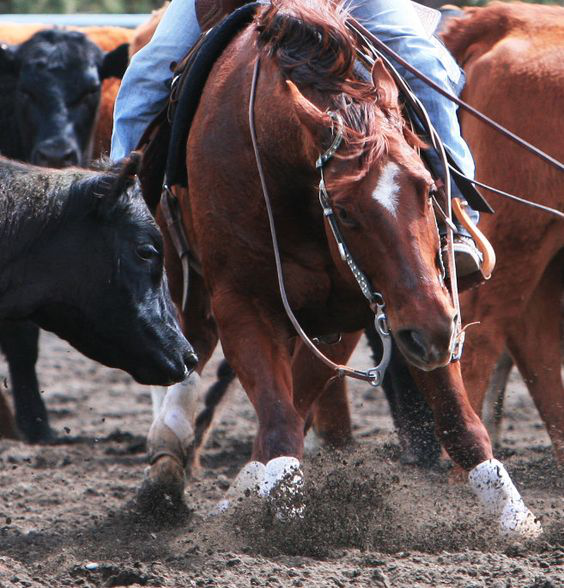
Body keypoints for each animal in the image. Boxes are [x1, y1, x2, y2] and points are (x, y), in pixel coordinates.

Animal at [143, 0, 540, 536]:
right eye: (346, 211)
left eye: (427, 186)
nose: (433, 333)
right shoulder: (243, 303)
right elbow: (279, 419)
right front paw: (283, 509)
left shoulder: (395, 305)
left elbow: (459, 422)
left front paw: (515, 519)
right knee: (194, 347)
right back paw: (166, 462)